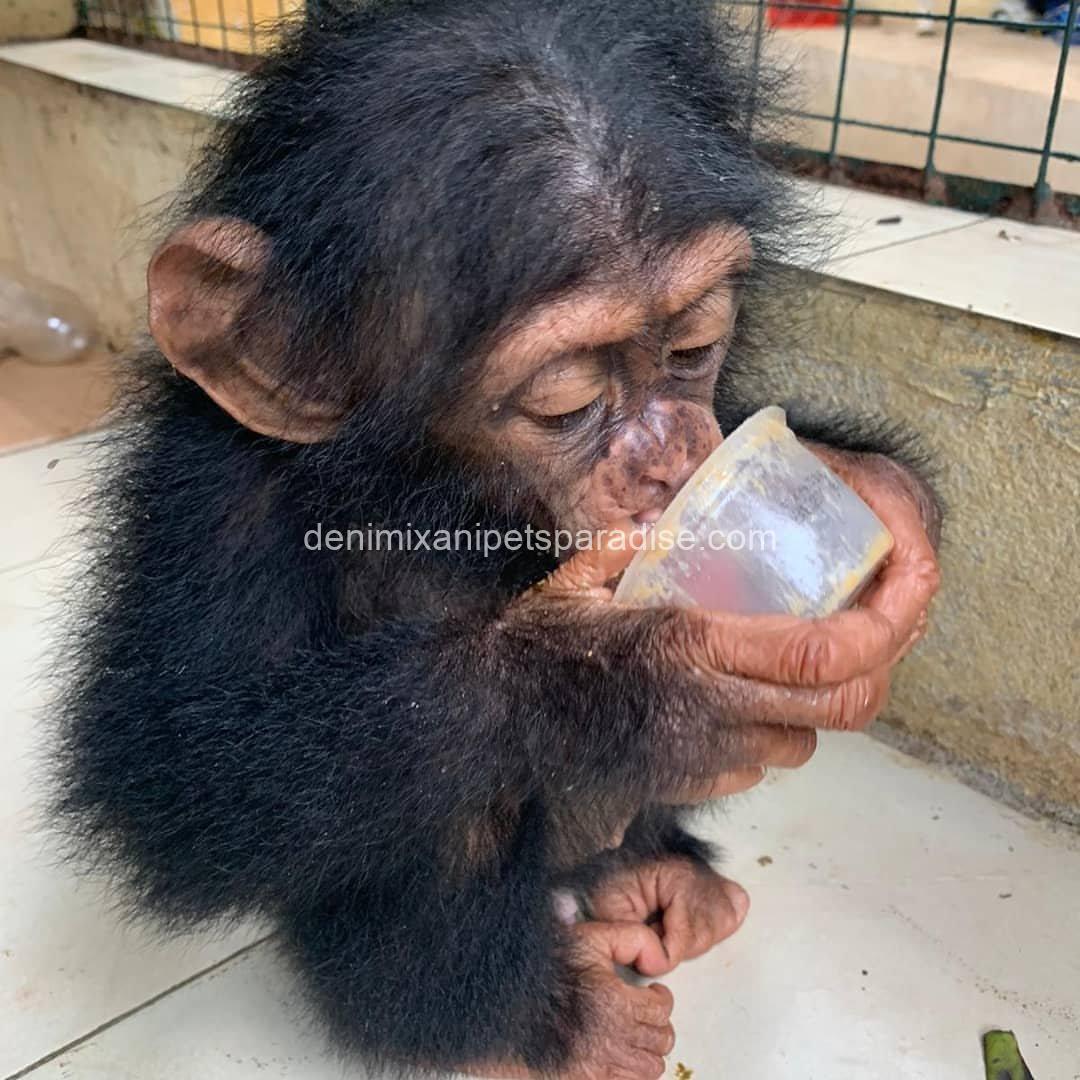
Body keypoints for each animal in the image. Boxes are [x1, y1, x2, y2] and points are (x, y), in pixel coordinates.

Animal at [52, 1, 942, 1077]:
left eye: (693, 348)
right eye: (565, 406)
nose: (669, 459)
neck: (438, 494)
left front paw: (877, 495)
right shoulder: (212, 506)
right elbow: (175, 770)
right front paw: (625, 679)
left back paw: (659, 877)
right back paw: (524, 1017)